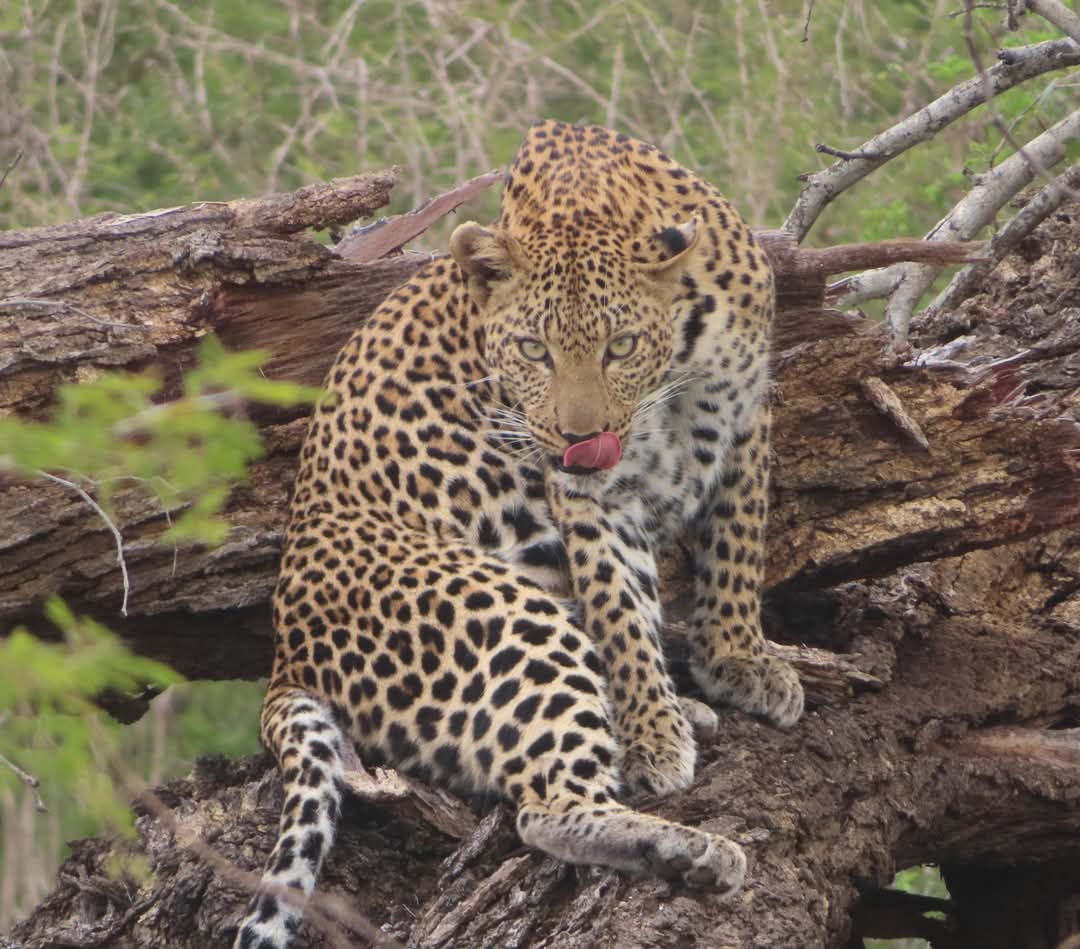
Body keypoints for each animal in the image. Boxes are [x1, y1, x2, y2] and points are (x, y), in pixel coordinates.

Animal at [233, 119, 804, 949]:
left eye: (619, 346)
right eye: (533, 351)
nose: (579, 438)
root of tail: (284, 657)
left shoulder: (744, 409)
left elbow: (738, 541)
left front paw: (736, 659)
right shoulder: (588, 495)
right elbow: (619, 605)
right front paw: (654, 733)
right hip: (501, 613)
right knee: (547, 806)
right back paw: (689, 848)